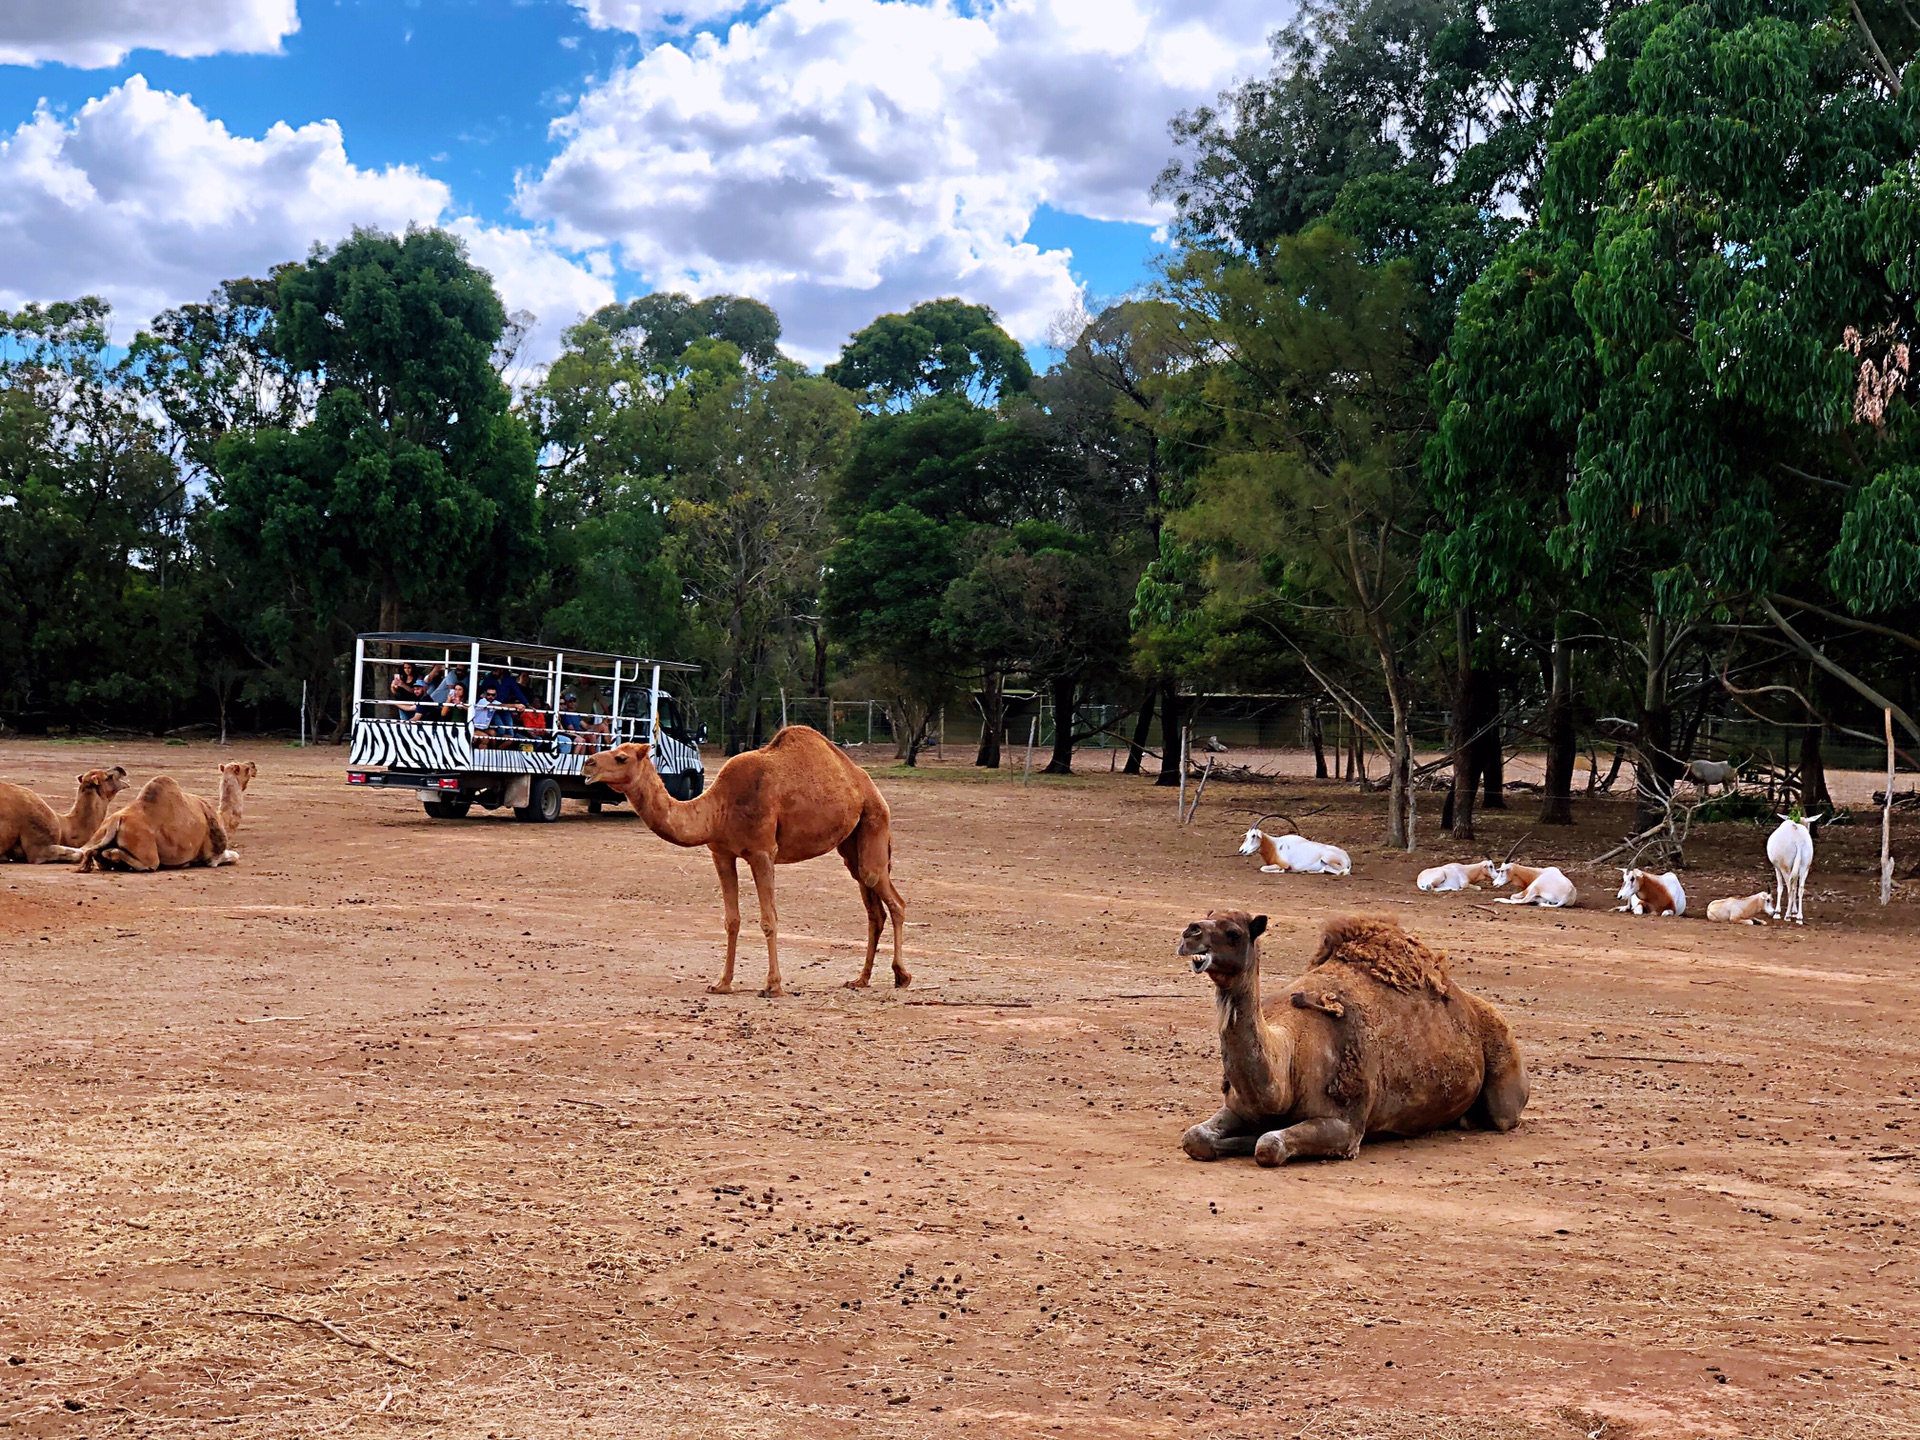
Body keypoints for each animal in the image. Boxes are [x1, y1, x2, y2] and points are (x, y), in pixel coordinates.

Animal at [76, 760, 255, 875]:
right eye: (245, 768)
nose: (253, 765)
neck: (221, 818)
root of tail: (115, 822)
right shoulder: (213, 857)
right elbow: (235, 856)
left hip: (101, 835)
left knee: (98, 853)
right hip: (147, 849)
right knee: (147, 863)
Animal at [583, 725, 906, 998]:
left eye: (621, 757)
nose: (588, 763)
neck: (718, 809)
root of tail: (865, 783)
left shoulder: (762, 852)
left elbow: (769, 919)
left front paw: (773, 986)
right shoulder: (721, 854)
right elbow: (732, 920)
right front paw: (722, 983)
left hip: (875, 820)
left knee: (892, 897)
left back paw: (901, 975)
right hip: (851, 844)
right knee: (873, 906)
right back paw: (860, 979)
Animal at [1167, 917, 1528, 1167]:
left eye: (1233, 932)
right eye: (1209, 915)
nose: (1190, 933)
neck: (1289, 1055)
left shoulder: (1345, 1127)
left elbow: (1269, 1145)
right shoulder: (1240, 1107)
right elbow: (1195, 1138)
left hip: (1504, 1086)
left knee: (1502, 1114)